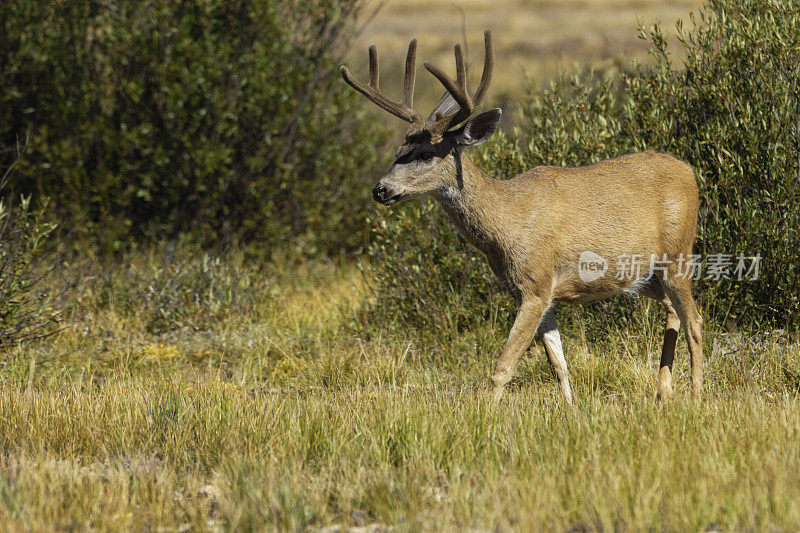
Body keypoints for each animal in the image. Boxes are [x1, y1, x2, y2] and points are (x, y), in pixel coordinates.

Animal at [340, 29, 704, 404]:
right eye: (399, 150)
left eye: (426, 153)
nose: (380, 189)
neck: (507, 221)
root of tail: (689, 171)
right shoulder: (533, 291)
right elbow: (558, 363)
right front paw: (571, 409)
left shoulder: (536, 285)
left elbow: (504, 366)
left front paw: (485, 413)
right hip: (644, 277)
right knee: (674, 311)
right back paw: (663, 393)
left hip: (678, 254)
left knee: (695, 320)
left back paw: (696, 396)